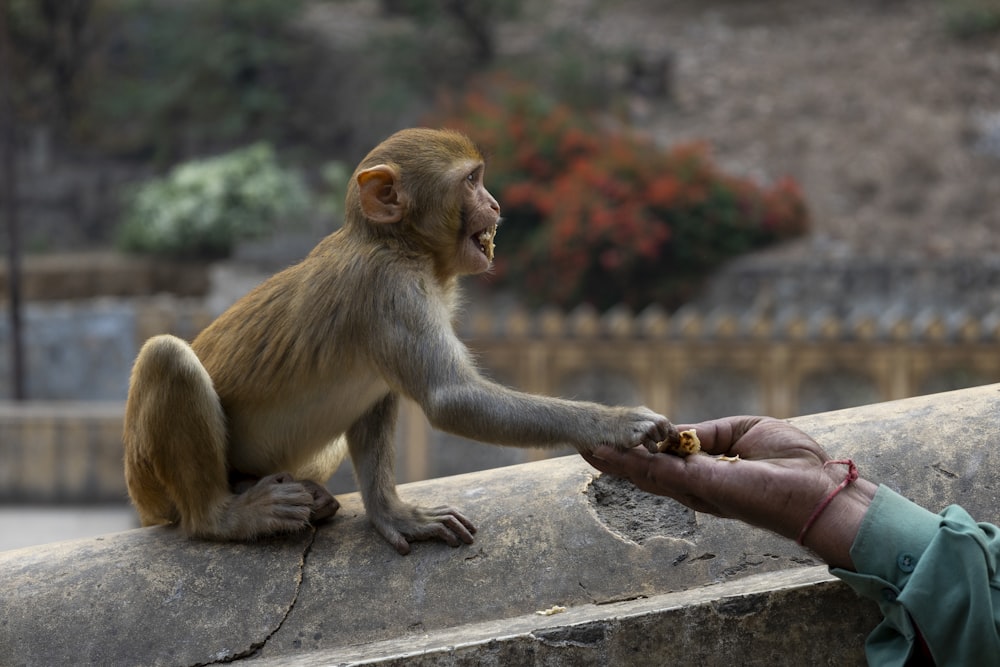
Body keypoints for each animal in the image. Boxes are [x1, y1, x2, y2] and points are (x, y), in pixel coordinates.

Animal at [123, 128, 672, 556]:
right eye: (470, 180)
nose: (495, 203)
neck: (397, 244)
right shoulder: (389, 289)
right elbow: (451, 398)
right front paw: (618, 424)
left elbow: (379, 402)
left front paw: (391, 513)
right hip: (150, 479)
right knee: (166, 356)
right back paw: (224, 515)